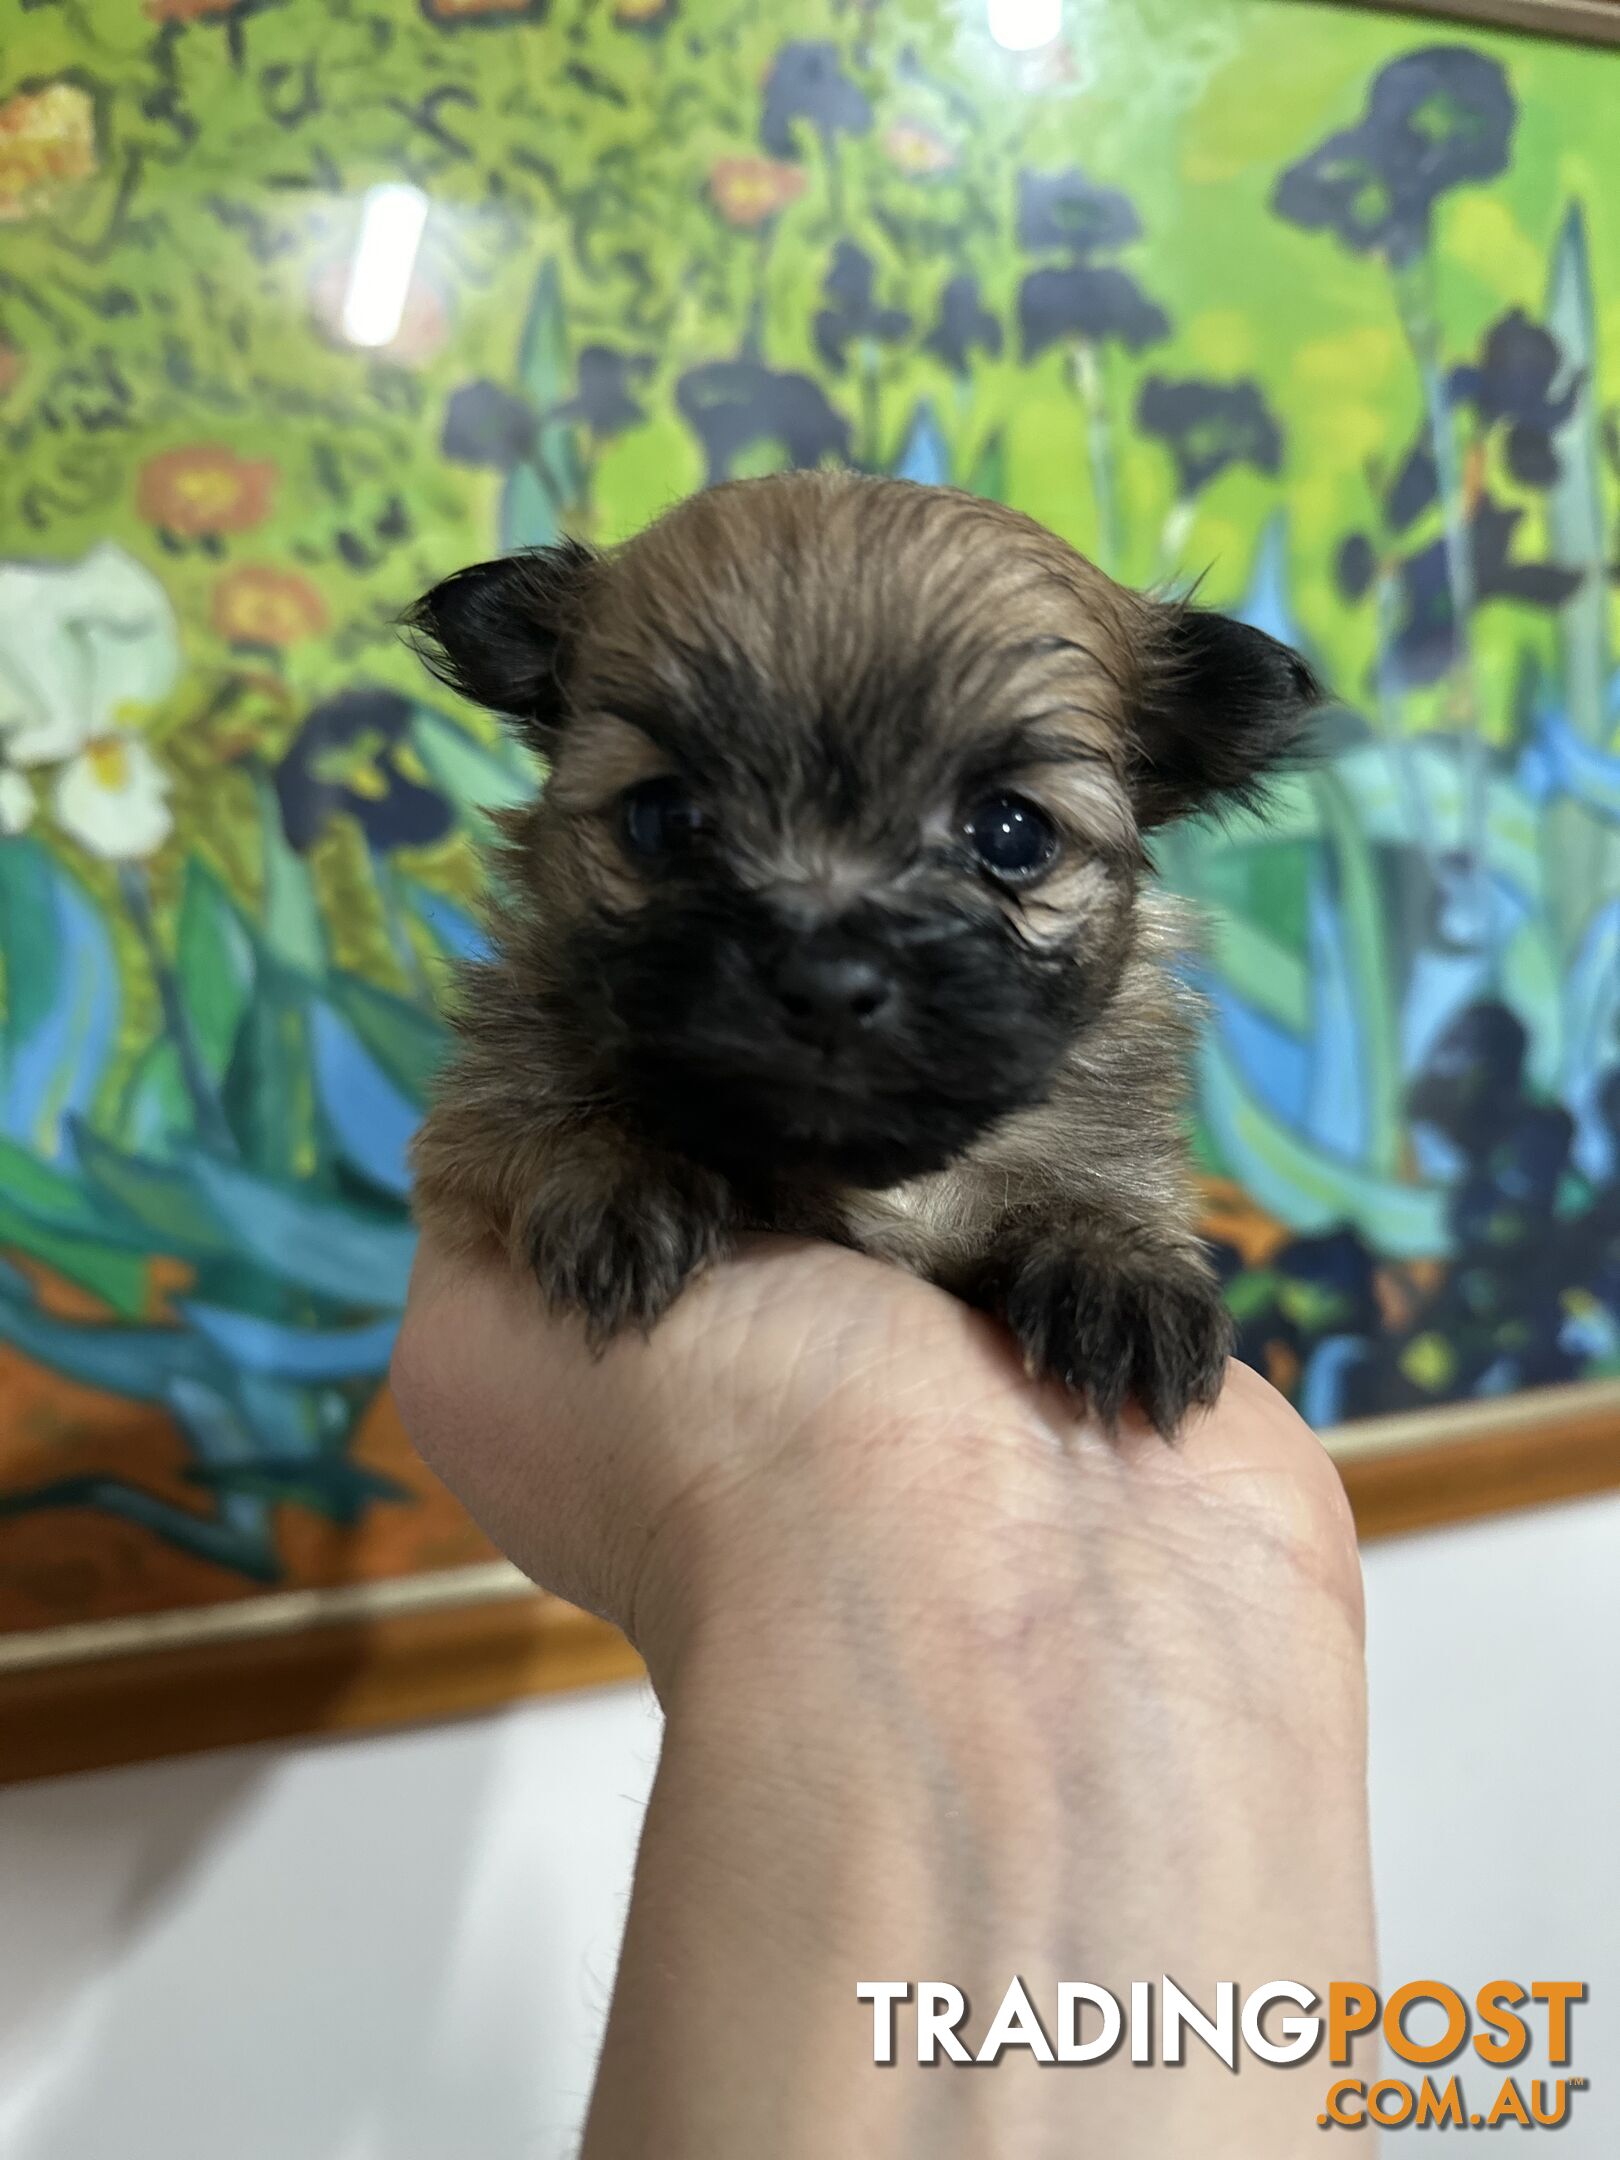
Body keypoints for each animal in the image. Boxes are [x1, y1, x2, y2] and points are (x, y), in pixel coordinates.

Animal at [403, 481, 1321, 1442]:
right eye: (660, 817)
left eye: (1011, 833)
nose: (829, 985)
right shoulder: (473, 1140)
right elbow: (538, 1123)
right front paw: (619, 1179)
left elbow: (1093, 1188)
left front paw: (1117, 1269)